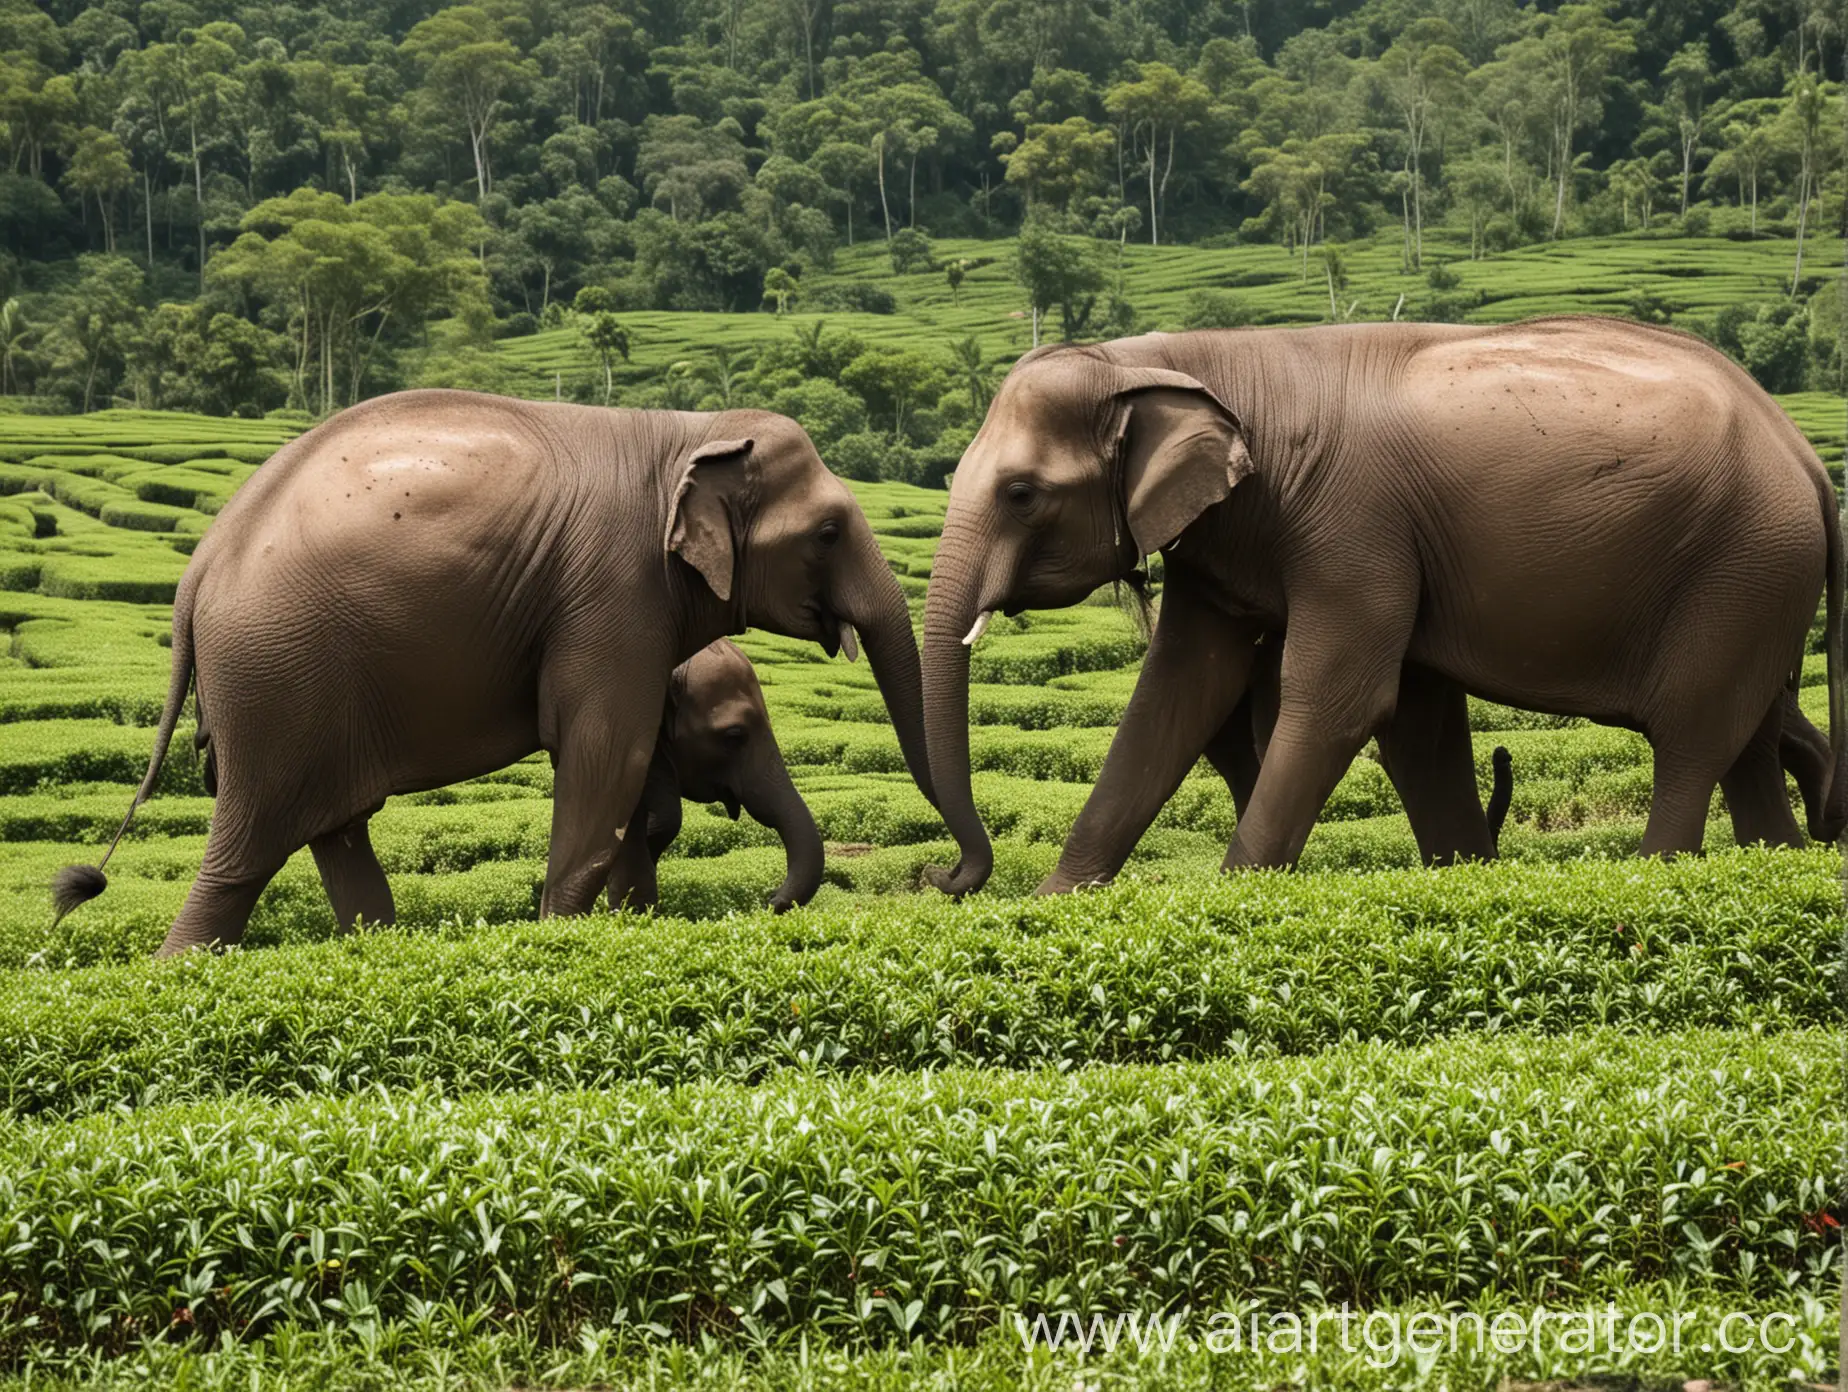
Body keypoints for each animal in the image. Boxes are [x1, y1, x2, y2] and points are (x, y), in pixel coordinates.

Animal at [924, 319, 1848, 894]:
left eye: (1020, 493)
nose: (942, 879)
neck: (1174, 357)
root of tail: (1807, 457)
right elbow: (1184, 693)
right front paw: (1056, 905)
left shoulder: (1353, 528)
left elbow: (1342, 699)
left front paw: (1235, 895)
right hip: (1758, 584)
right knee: (1746, 742)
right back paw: (1775, 860)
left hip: (1742, 569)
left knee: (1693, 738)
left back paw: (1658, 874)